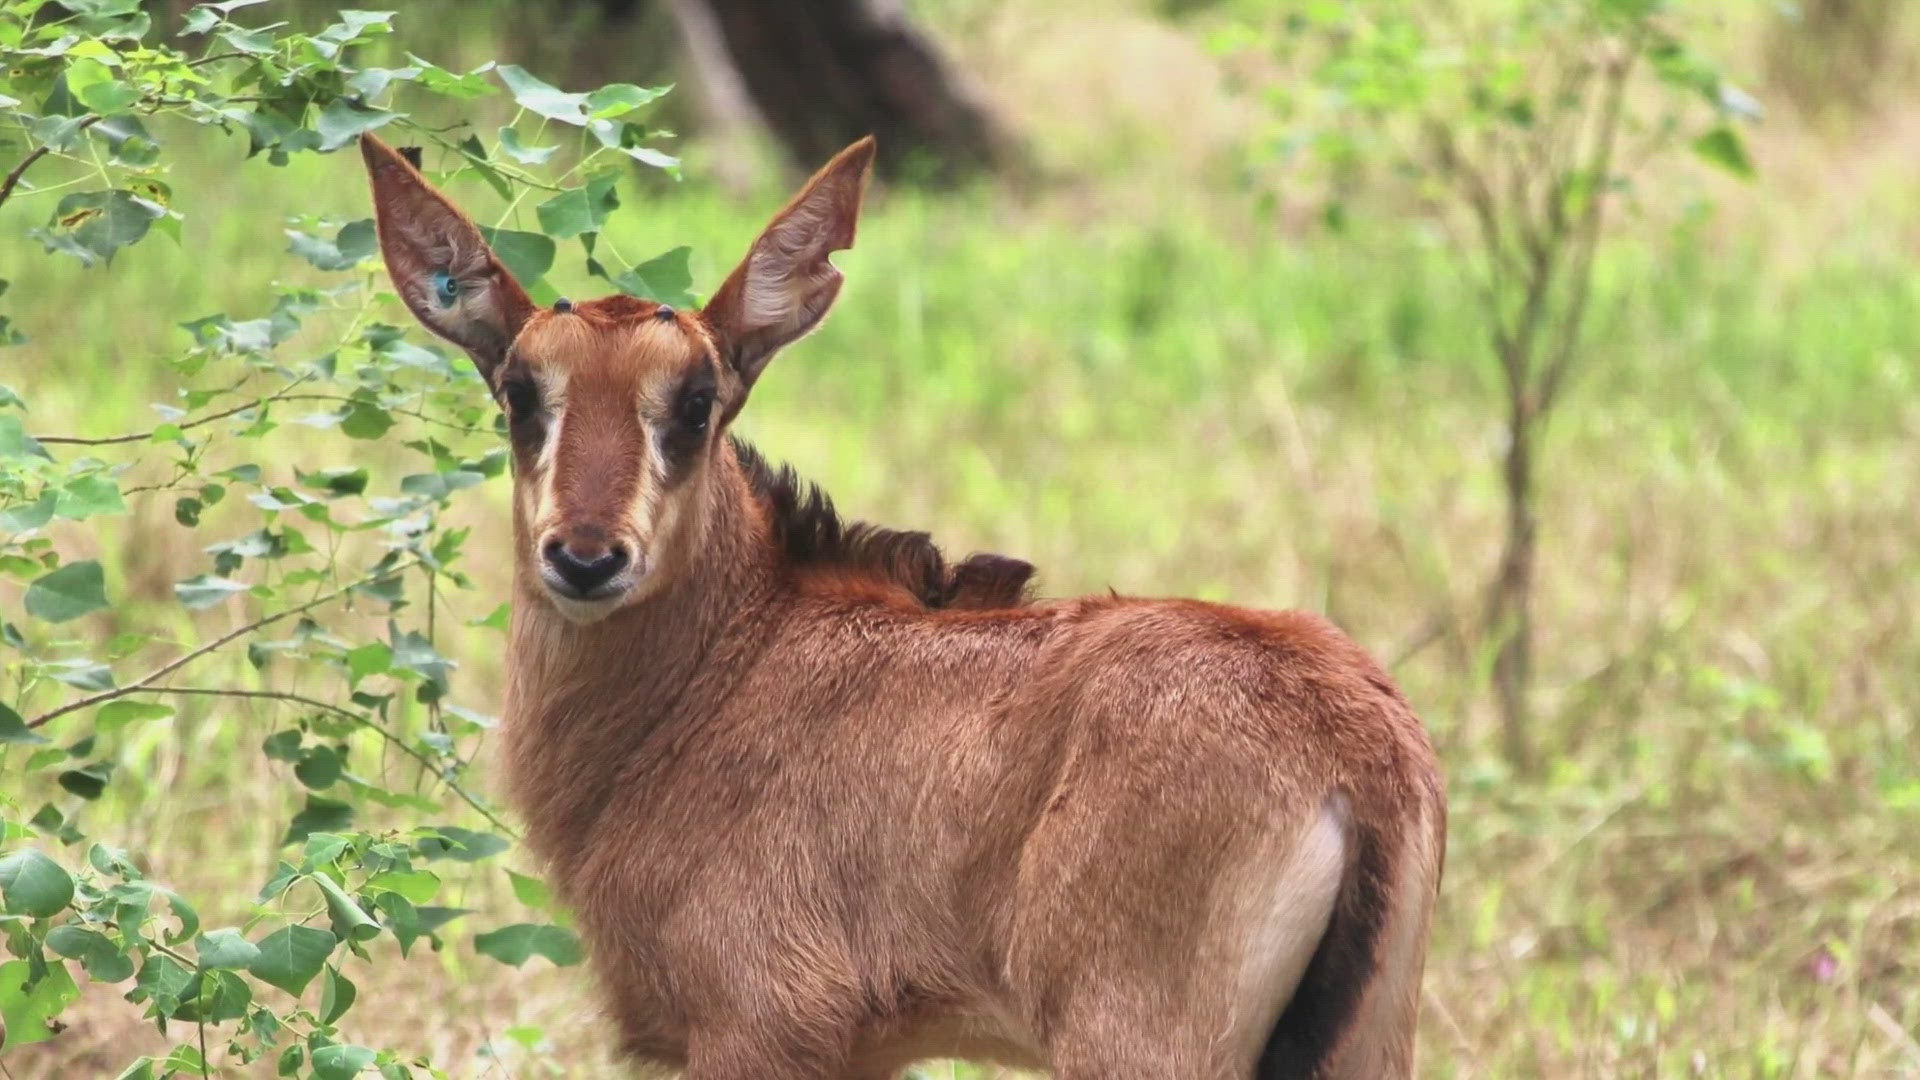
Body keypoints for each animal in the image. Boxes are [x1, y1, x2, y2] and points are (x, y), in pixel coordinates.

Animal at [357, 130, 1443, 1068]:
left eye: (698, 402)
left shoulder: (762, 1029)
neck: (725, 671)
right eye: (520, 392)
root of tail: (1356, 745)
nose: (585, 560)